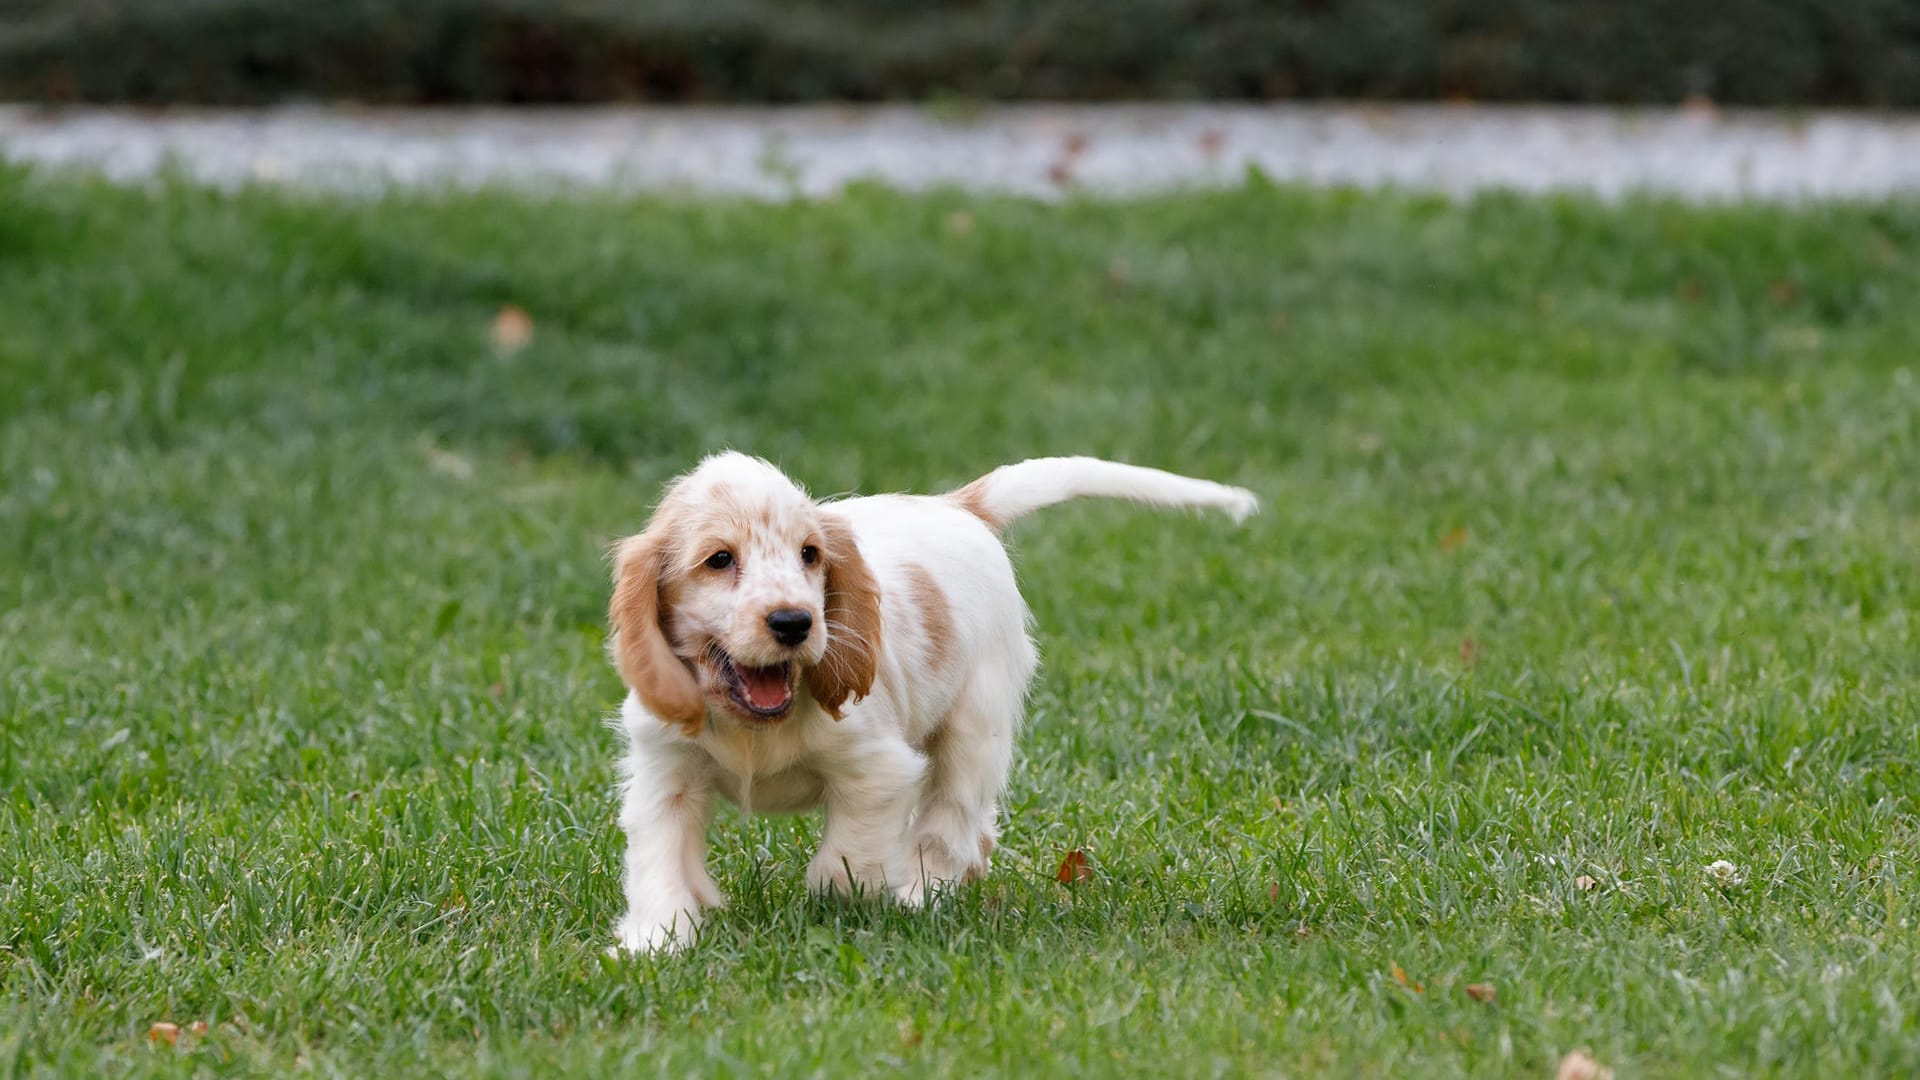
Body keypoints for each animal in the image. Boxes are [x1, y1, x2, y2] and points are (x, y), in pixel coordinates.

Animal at [606, 451, 1251, 949]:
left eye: (810, 554)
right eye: (719, 559)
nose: (795, 622)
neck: (756, 724)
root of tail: (957, 505)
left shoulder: (878, 770)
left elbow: (847, 859)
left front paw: (852, 896)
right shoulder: (665, 777)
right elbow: (659, 861)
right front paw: (655, 941)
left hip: (974, 726)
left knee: (950, 822)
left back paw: (921, 896)